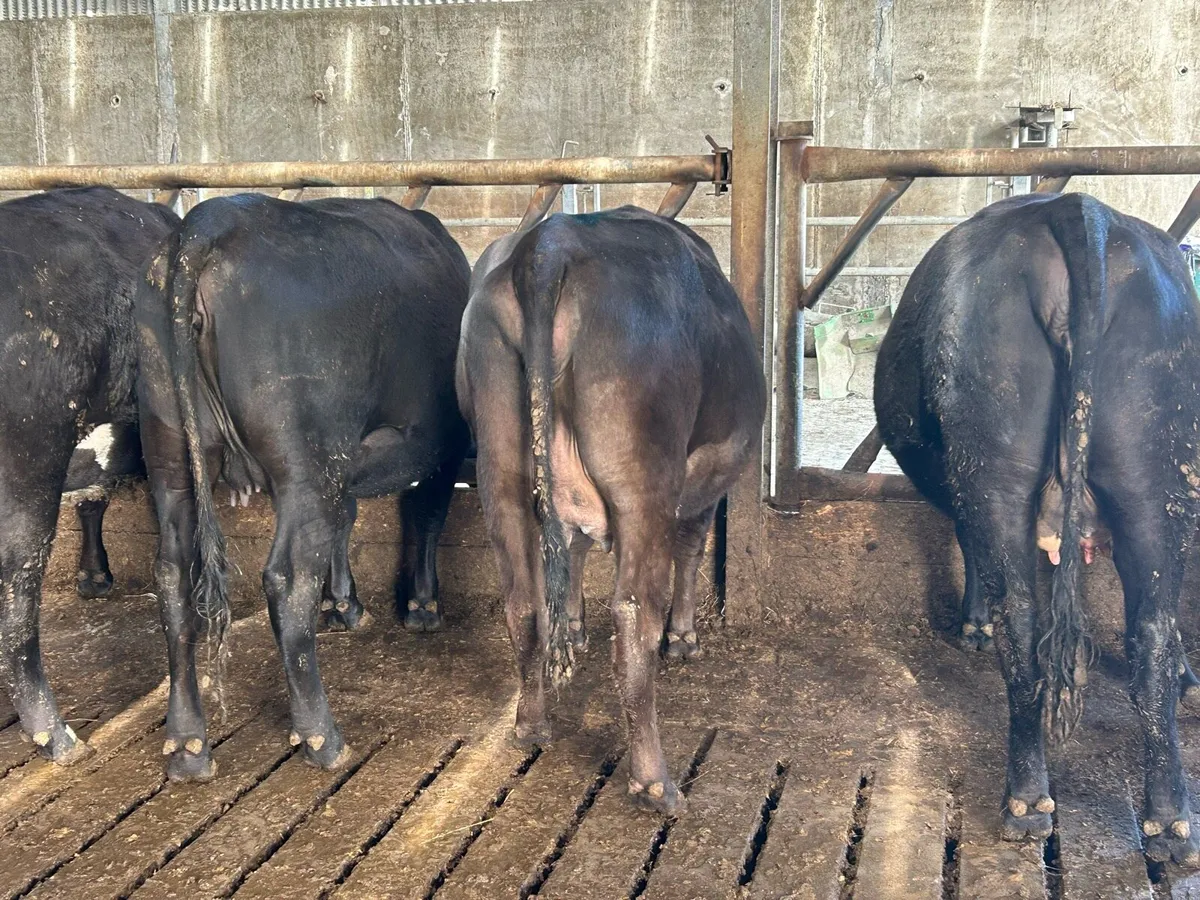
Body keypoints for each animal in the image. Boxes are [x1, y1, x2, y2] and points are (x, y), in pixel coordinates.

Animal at [135, 194, 471, 781]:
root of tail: (204, 224)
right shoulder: (439, 441)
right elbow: (427, 515)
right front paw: (423, 607)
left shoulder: (346, 463)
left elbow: (346, 519)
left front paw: (344, 604)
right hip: (304, 456)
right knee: (288, 577)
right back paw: (321, 736)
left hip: (170, 454)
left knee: (174, 575)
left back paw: (187, 744)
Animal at [458, 206, 766, 815]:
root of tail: (550, 243)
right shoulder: (702, 483)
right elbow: (691, 549)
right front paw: (684, 638)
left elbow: (572, 552)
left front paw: (574, 626)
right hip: (642, 483)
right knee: (632, 615)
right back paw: (655, 782)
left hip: (500, 473)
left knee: (524, 602)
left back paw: (531, 723)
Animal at [875, 192, 1200, 863]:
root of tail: (1079, 209)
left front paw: (971, 625)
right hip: (1157, 479)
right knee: (1152, 630)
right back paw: (1169, 820)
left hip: (997, 473)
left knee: (1022, 622)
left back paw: (1026, 801)